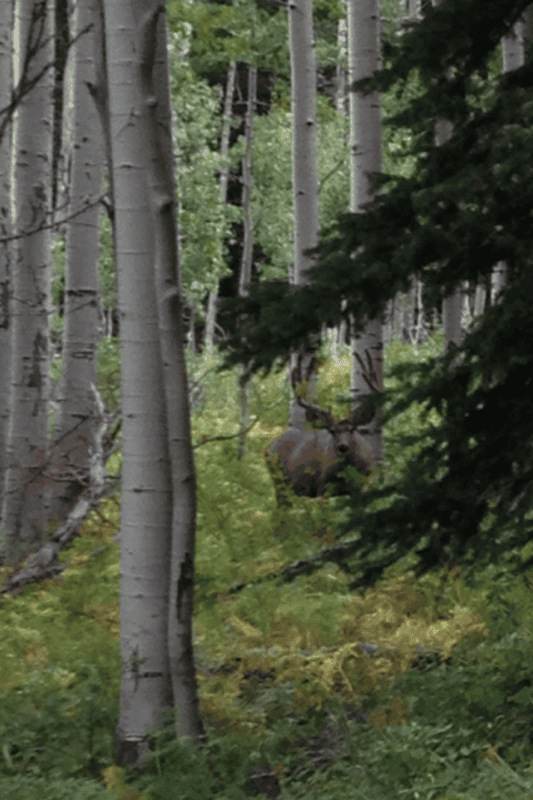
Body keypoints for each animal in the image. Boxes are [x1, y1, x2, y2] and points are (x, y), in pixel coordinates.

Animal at [265, 350, 382, 505]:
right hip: (279, 483)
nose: (342, 447)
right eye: (331, 431)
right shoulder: (322, 486)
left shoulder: (360, 486)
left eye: (352, 429)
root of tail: (267, 447)